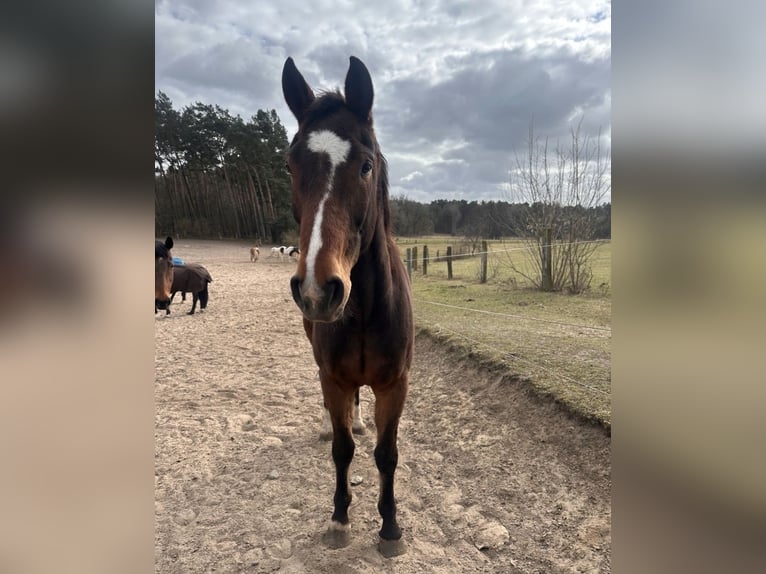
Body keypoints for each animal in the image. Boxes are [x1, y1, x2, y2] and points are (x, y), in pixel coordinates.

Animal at [282, 56, 414, 557]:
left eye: (365, 165)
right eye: (289, 166)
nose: (319, 289)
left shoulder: (395, 384)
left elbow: (386, 454)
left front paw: (390, 527)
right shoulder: (334, 377)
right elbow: (341, 451)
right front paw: (340, 518)